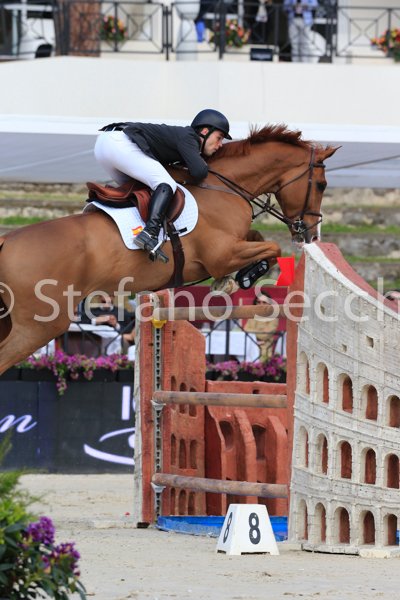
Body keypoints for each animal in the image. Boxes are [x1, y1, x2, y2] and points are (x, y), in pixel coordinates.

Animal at [0, 124, 338, 372]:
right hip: (40, 326)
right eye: (321, 185)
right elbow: (271, 246)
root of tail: (6, 242)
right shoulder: (221, 254)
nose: (311, 234)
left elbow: (258, 237)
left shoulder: (233, 245)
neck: (225, 186)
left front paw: (230, 280)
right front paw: (241, 278)